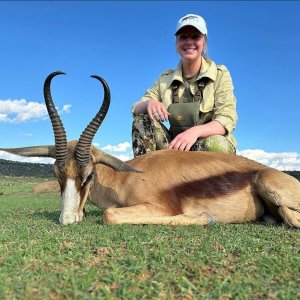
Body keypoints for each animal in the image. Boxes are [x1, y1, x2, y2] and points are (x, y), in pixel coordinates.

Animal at [0, 72, 300, 226]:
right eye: (56, 175)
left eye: (88, 175)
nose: (67, 219)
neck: (125, 178)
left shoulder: (159, 208)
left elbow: (109, 215)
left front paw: (205, 217)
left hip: (268, 183)